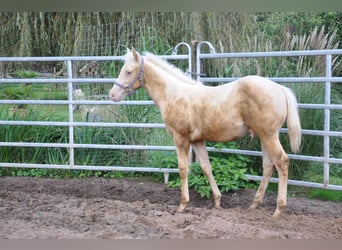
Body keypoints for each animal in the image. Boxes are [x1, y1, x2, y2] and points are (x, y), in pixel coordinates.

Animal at [110, 47, 302, 218]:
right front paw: (217, 201)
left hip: (269, 136)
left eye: (128, 71)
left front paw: (182, 205)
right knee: (268, 166)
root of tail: (280, 89)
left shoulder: (180, 138)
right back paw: (254, 205)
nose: (112, 95)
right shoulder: (197, 141)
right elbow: (206, 167)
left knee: (282, 162)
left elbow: (183, 169)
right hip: (263, 136)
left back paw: (278, 210)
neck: (174, 95)